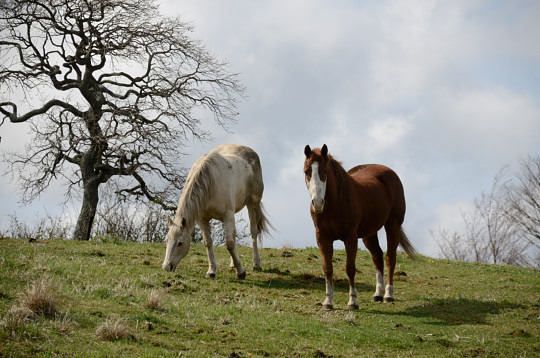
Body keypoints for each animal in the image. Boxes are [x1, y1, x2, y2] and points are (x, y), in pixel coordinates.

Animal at [159, 144, 270, 278]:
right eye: (166, 240)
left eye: (180, 243)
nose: (166, 267)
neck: (210, 184)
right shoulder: (202, 219)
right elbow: (209, 243)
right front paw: (211, 271)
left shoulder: (228, 214)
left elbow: (229, 244)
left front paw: (241, 272)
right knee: (234, 234)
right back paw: (233, 264)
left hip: (252, 203)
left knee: (253, 232)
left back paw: (256, 264)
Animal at [306, 144, 416, 310]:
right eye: (307, 171)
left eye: (324, 172)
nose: (318, 203)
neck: (336, 202)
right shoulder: (322, 237)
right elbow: (327, 268)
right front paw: (328, 302)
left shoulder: (350, 237)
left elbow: (350, 268)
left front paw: (352, 301)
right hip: (369, 234)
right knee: (377, 256)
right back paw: (378, 293)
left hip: (393, 225)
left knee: (390, 257)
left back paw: (388, 295)